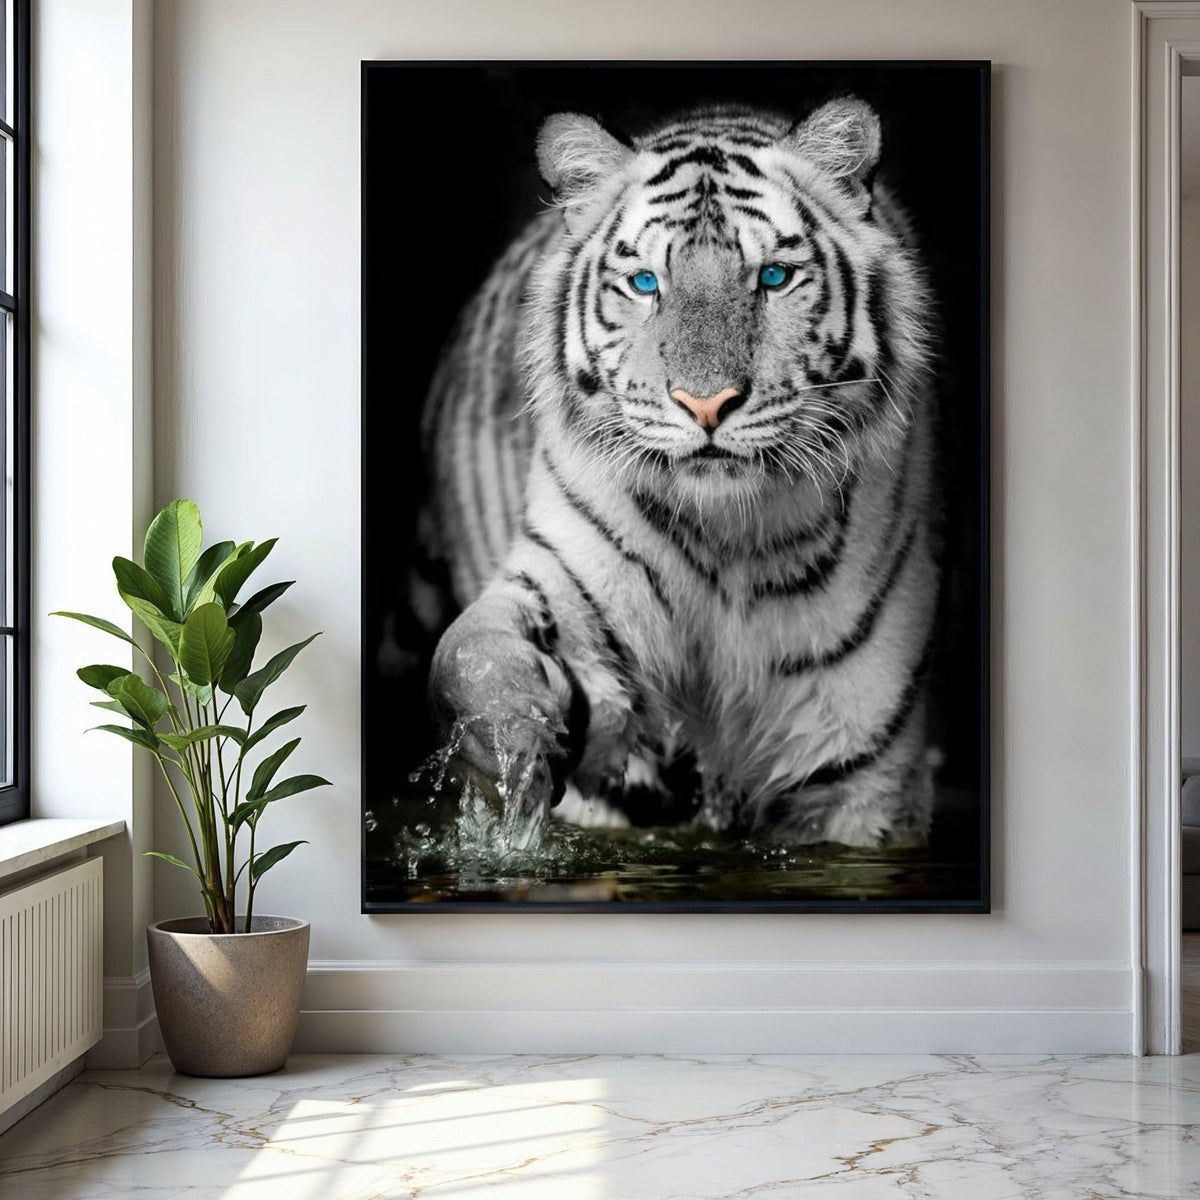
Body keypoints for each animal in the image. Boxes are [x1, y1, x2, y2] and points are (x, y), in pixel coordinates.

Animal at [417, 96, 941, 848]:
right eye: (645, 284)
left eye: (773, 277)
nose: (707, 404)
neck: (729, 538)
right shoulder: (566, 584)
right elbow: (472, 653)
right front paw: (511, 742)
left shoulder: (861, 774)